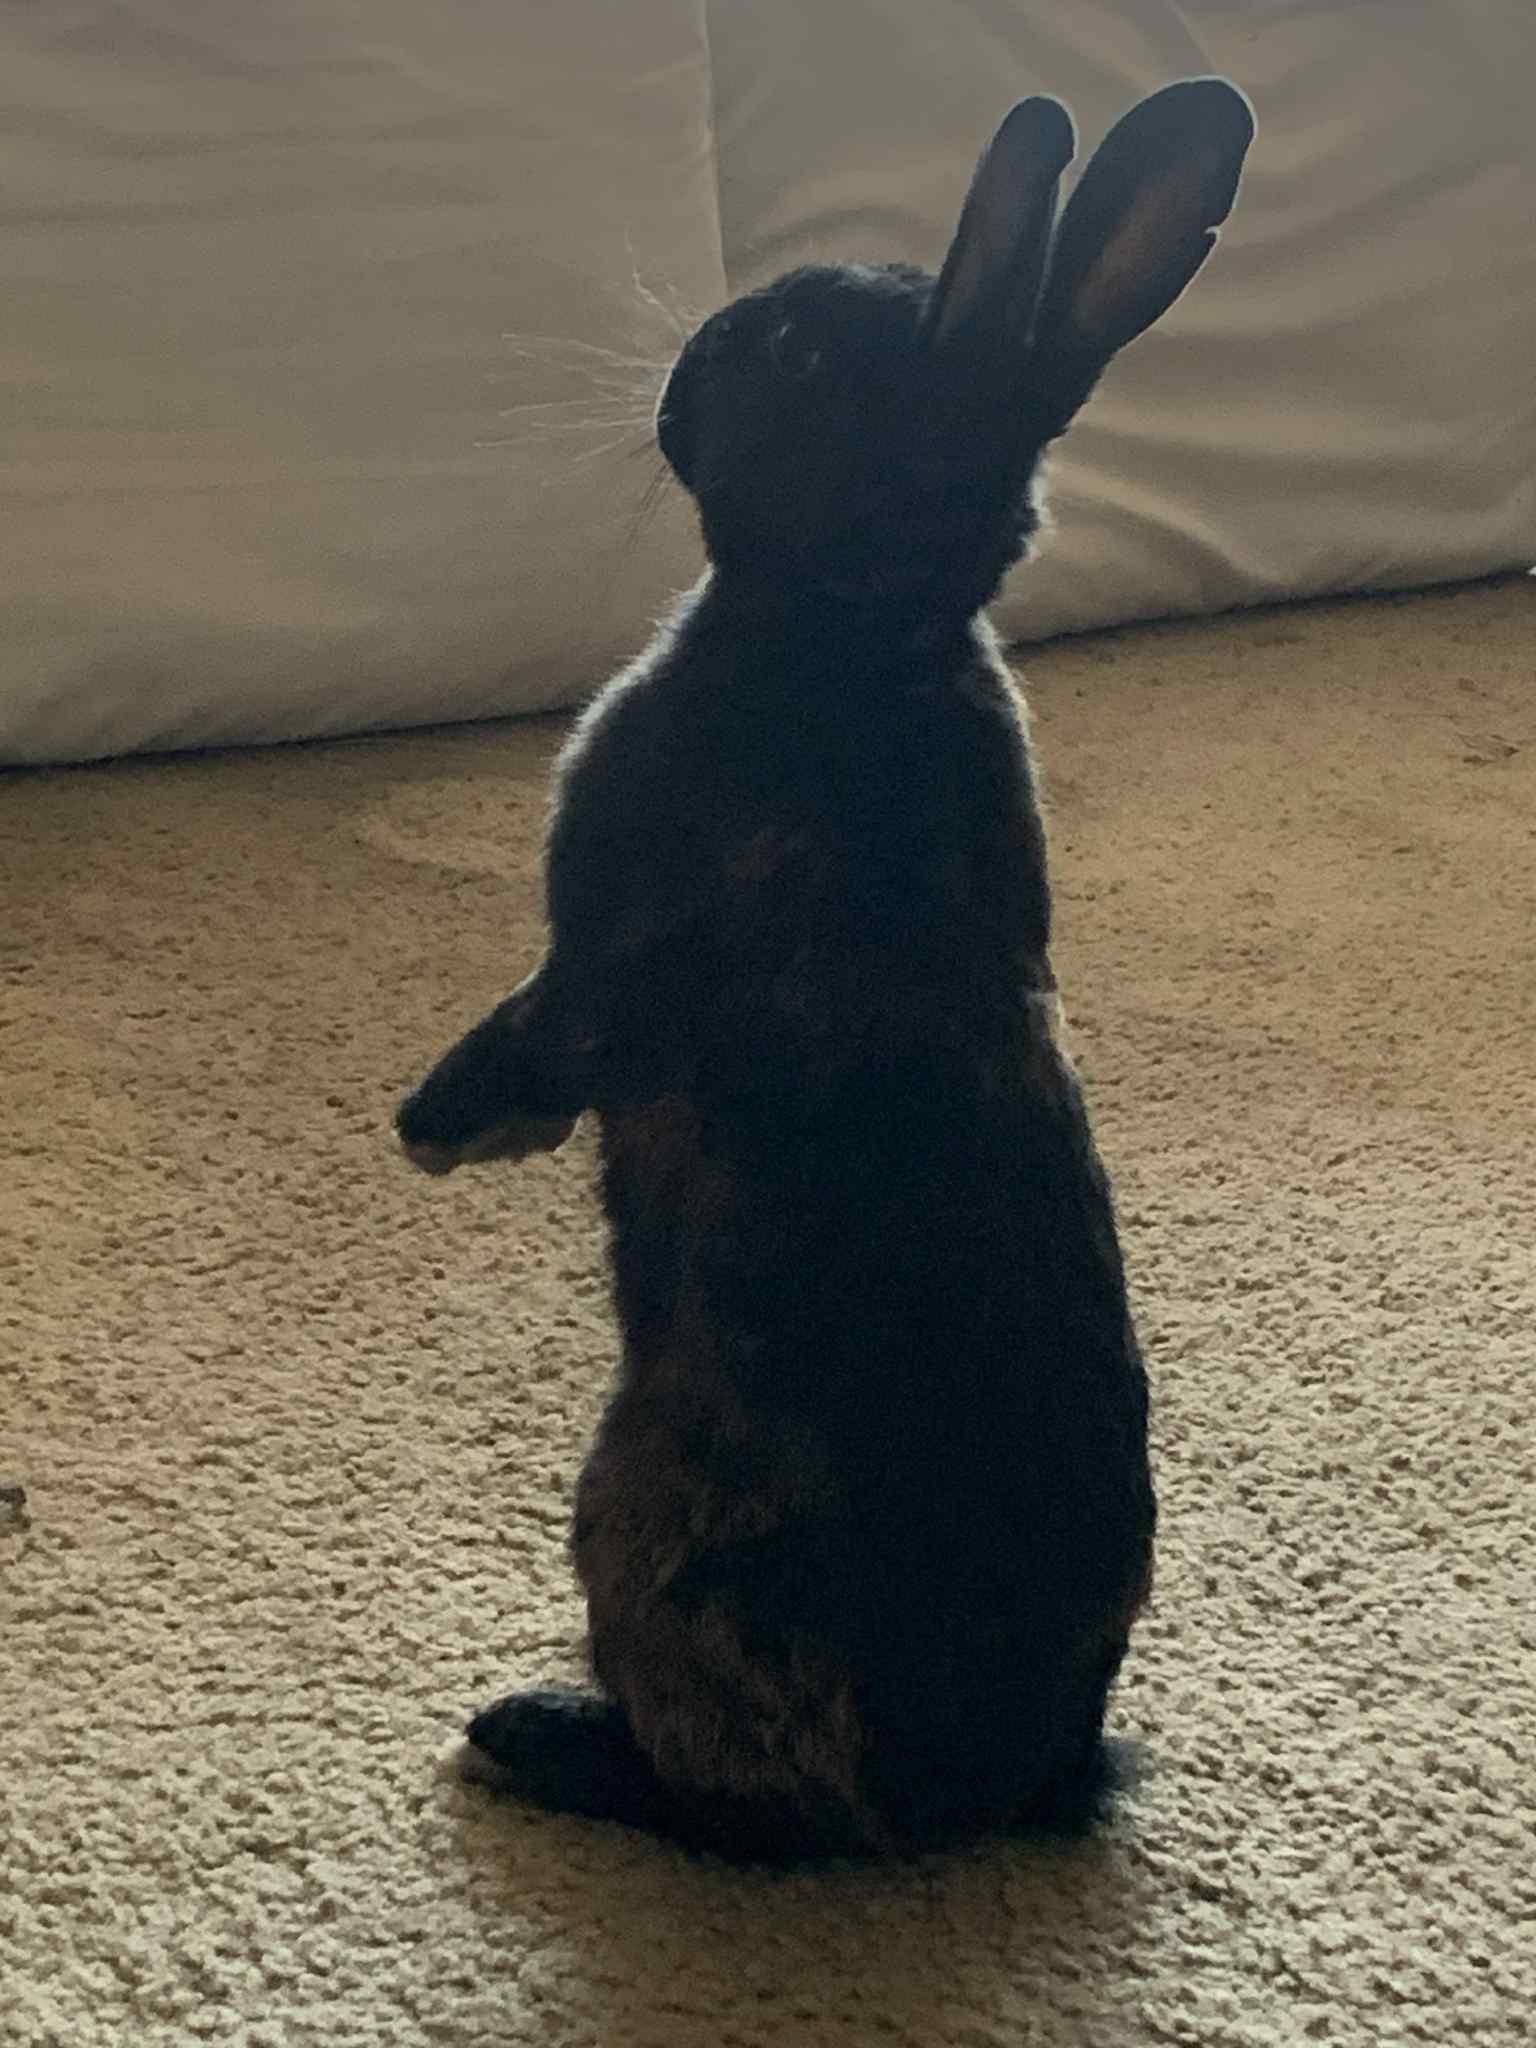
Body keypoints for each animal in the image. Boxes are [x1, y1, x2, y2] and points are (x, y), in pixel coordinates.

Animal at [396, 78, 1254, 1863]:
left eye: (795, 353)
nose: (689, 360)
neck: (856, 626)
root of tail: (991, 1790)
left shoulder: (604, 950)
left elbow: (551, 1027)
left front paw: (435, 1132)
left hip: (640, 1518)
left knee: (731, 1809)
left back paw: (535, 1737)